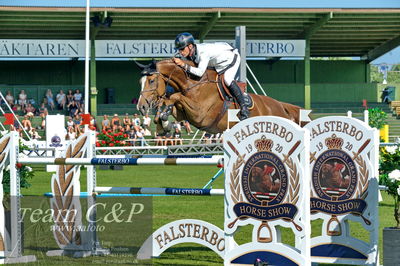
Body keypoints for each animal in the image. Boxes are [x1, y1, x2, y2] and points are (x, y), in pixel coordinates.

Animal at [138, 58, 300, 133]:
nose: (141, 107)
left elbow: (174, 97)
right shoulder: (184, 113)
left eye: (151, 81)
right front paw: (163, 123)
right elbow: (169, 102)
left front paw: (164, 121)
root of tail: (281, 105)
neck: (194, 83)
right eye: (141, 81)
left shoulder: (200, 114)